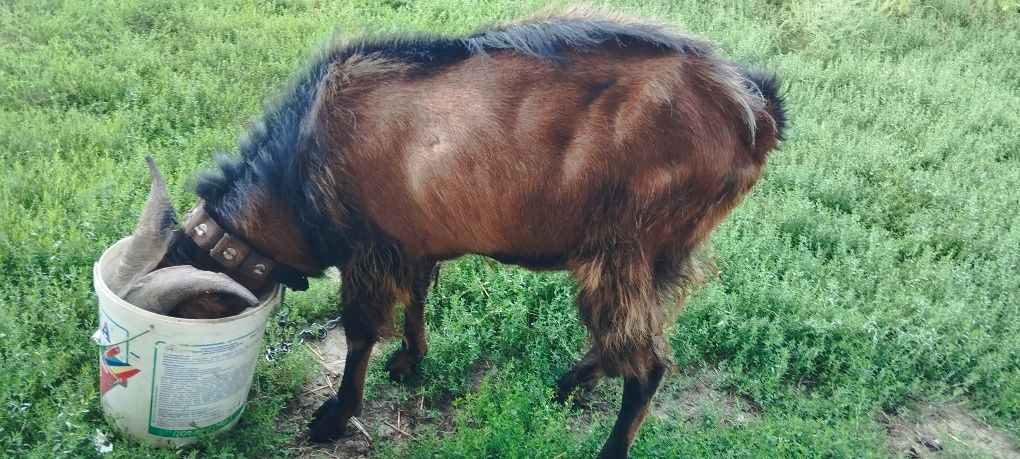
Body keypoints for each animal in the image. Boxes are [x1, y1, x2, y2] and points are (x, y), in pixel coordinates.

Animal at [179, 12, 783, 456]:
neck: (298, 166)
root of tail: (756, 109)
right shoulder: (412, 241)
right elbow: (417, 296)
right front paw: (410, 361)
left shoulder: (368, 249)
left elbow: (358, 333)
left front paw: (335, 416)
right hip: (659, 257)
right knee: (625, 342)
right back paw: (567, 385)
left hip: (625, 247)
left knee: (648, 364)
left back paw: (609, 445)